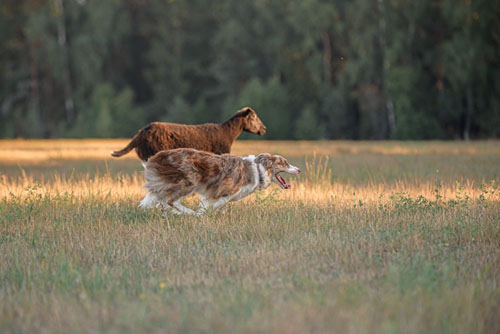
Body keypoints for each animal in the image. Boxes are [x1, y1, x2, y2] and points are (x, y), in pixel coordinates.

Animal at [139, 148, 298, 215]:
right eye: (284, 163)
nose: (299, 170)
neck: (259, 171)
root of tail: (155, 157)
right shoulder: (223, 191)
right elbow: (215, 205)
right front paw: (203, 213)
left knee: (164, 201)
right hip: (189, 181)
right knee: (171, 201)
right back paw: (191, 213)